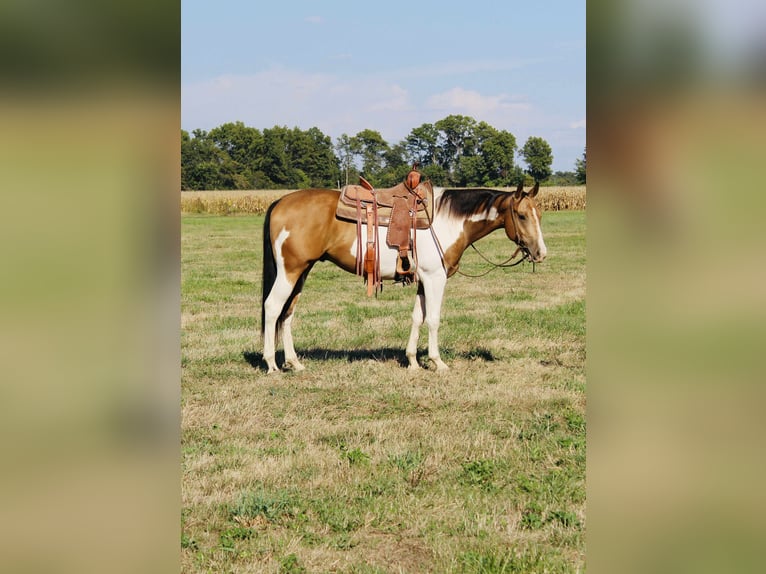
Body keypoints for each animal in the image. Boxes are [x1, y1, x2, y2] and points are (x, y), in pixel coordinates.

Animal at [260, 181, 547, 373]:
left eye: (540, 215)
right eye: (522, 215)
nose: (540, 253)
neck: (446, 221)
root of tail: (279, 203)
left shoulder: (423, 280)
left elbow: (417, 317)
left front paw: (412, 361)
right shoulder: (435, 278)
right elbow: (433, 319)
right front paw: (437, 362)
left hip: (302, 272)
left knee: (287, 314)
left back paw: (294, 362)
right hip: (290, 271)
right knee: (273, 308)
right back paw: (271, 364)